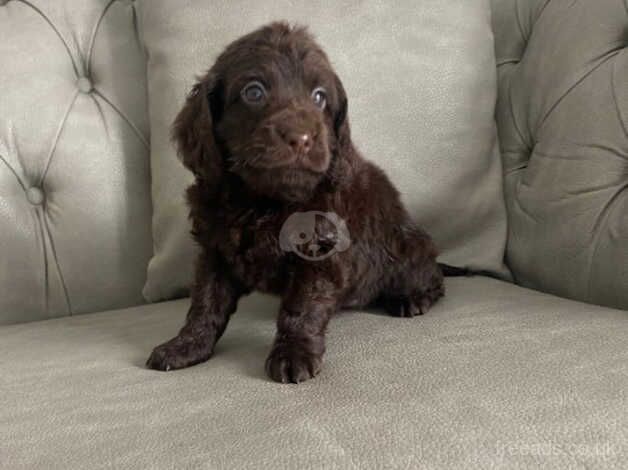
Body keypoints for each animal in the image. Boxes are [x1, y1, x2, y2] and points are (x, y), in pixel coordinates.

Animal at [146, 21, 452, 382]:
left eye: (320, 97)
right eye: (253, 92)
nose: (301, 138)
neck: (263, 201)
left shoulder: (321, 255)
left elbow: (301, 307)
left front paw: (293, 353)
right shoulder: (215, 251)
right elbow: (205, 302)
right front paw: (186, 346)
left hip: (407, 250)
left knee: (432, 277)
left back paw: (412, 298)